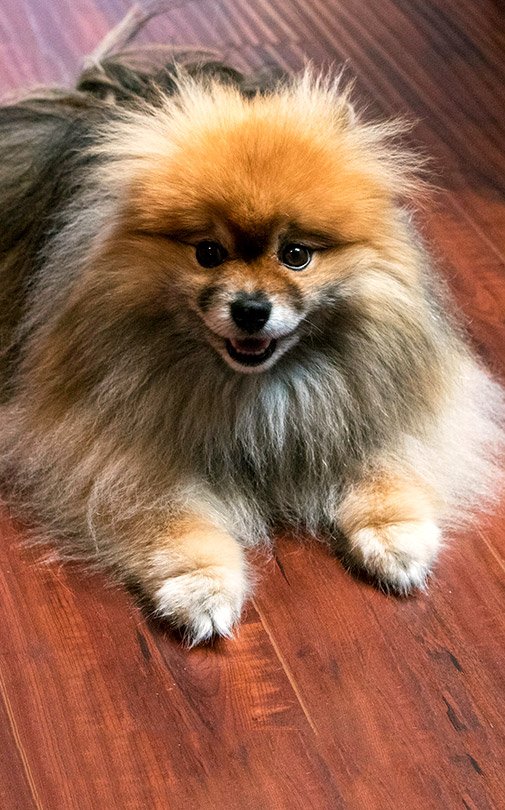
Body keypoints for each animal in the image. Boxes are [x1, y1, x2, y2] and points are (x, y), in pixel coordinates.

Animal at [0, 29, 503, 644]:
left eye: (296, 255)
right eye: (207, 252)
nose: (250, 309)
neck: (260, 390)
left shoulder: (382, 403)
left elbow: (391, 461)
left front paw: (396, 537)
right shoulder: (105, 445)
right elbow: (166, 513)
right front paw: (201, 585)